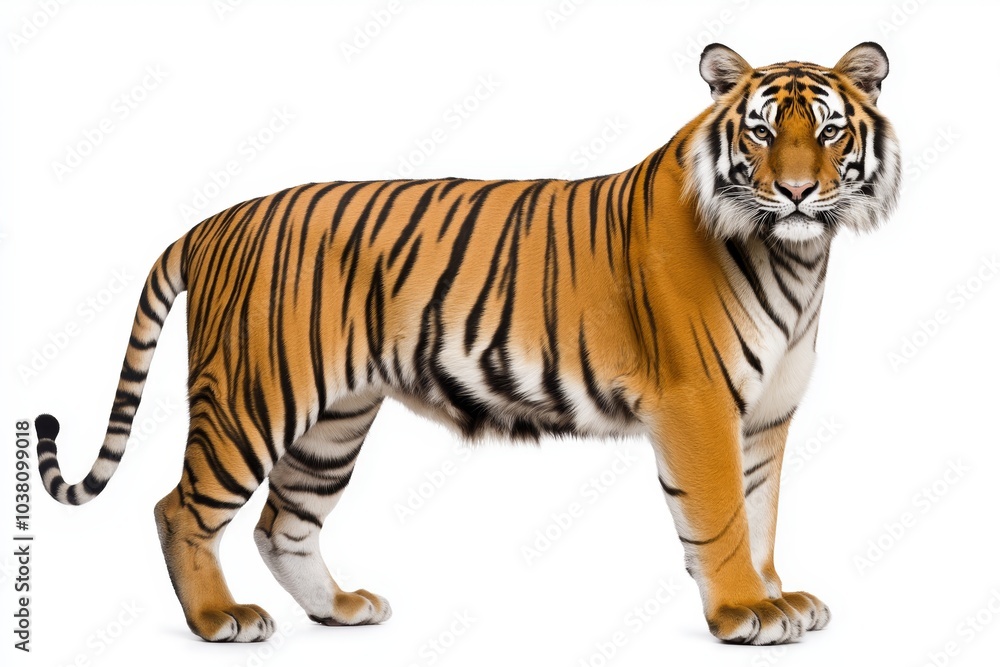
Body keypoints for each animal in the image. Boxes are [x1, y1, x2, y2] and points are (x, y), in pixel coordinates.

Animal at [35, 42, 900, 646]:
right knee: (179, 508)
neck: (795, 256)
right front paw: (744, 610)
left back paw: (339, 609)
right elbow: (721, 517)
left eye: (829, 131)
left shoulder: (766, 414)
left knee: (284, 524)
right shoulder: (698, 405)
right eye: (761, 132)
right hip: (252, 399)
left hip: (333, 421)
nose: (797, 191)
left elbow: (762, 512)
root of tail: (213, 222)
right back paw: (219, 620)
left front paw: (776, 594)